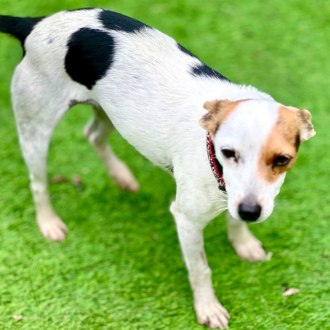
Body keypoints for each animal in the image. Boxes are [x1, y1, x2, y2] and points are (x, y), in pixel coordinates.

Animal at [0, 9, 314, 328]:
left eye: (282, 160)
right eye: (228, 153)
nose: (251, 211)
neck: (211, 150)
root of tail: (35, 23)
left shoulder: (237, 197)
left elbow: (235, 221)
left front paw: (243, 243)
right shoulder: (187, 220)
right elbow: (200, 269)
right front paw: (208, 307)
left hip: (112, 113)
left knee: (93, 135)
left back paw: (121, 176)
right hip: (36, 128)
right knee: (38, 181)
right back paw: (49, 222)